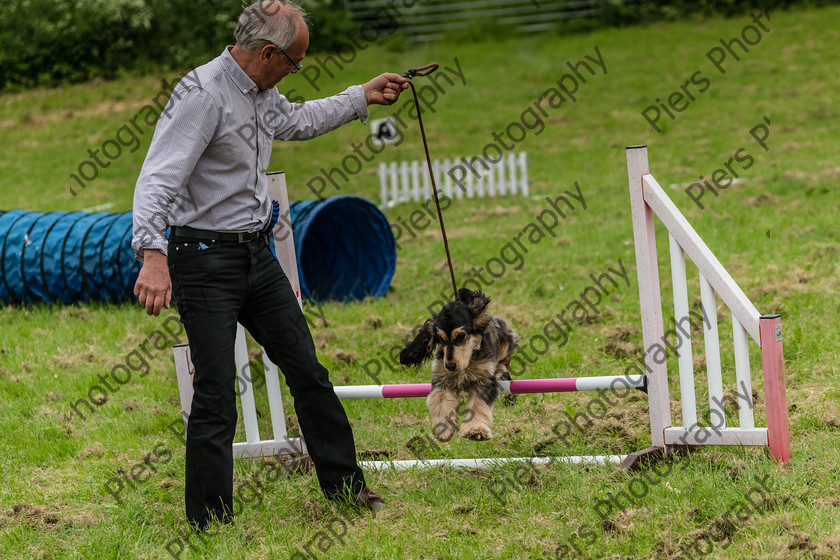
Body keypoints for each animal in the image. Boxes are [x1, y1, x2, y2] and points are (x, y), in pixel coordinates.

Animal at [398, 288, 520, 442]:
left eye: (460, 336)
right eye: (440, 338)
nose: (450, 366)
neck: (466, 365)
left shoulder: (483, 379)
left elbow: (478, 405)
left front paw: (476, 430)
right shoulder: (442, 379)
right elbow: (441, 402)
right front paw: (444, 430)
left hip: (508, 340)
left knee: (506, 360)